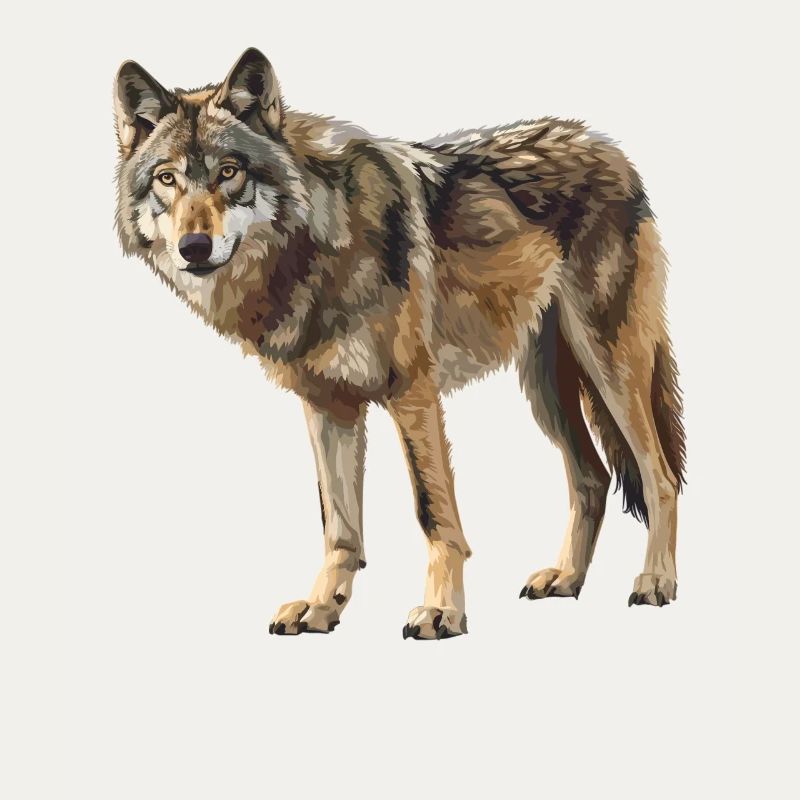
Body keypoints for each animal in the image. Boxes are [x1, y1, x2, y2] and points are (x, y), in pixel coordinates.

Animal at [114, 48, 685, 639]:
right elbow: (339, 525)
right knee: (592, 478)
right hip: (545, 389)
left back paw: (655, 582)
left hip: (610, 368)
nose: (194, 246)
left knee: (660, 476)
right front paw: (322, 607)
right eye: (166, 179)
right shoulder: (328, 405)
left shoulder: (412, 392)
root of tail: (607, 147)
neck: (318, 246)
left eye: (229, 172)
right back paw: (566, 579)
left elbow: (433, 513)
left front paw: (442, 611)